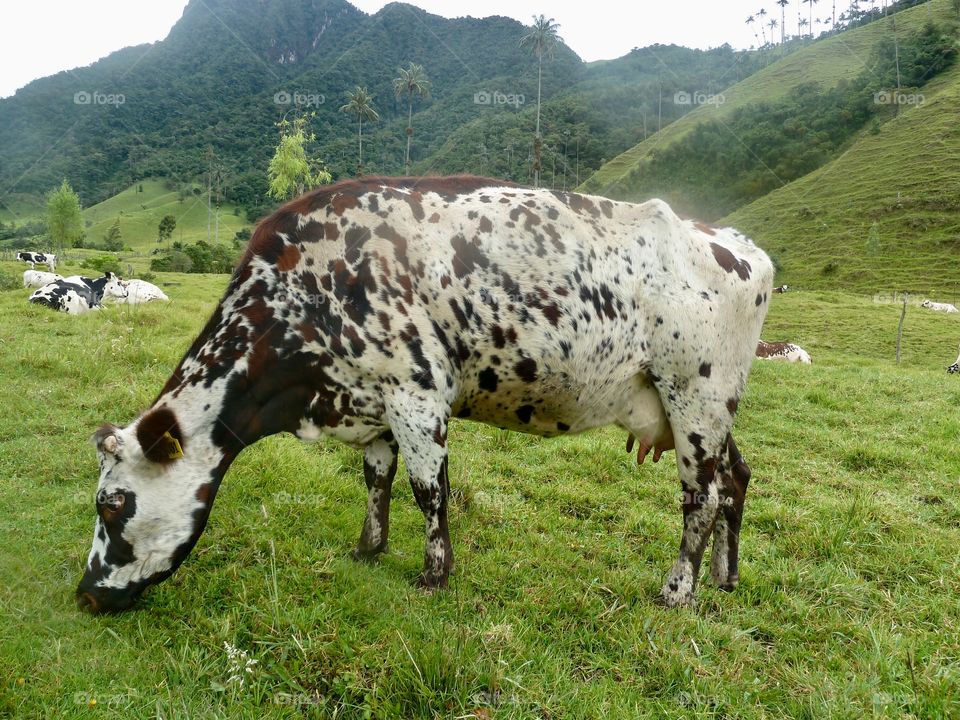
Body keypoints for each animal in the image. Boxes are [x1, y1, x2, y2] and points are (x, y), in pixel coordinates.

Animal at [77, 176, 774, 614]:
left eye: (112, 506)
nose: (85, 593)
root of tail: (739, 245)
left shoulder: (417, 392)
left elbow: (427, 489)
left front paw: (434, 576)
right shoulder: (374, 398)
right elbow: (377, 478)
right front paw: (368, 549)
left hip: (696, 395)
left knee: (701, 496)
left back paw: (678, 590)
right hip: (705, 406)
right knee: (736, 478)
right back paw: (725, 577)